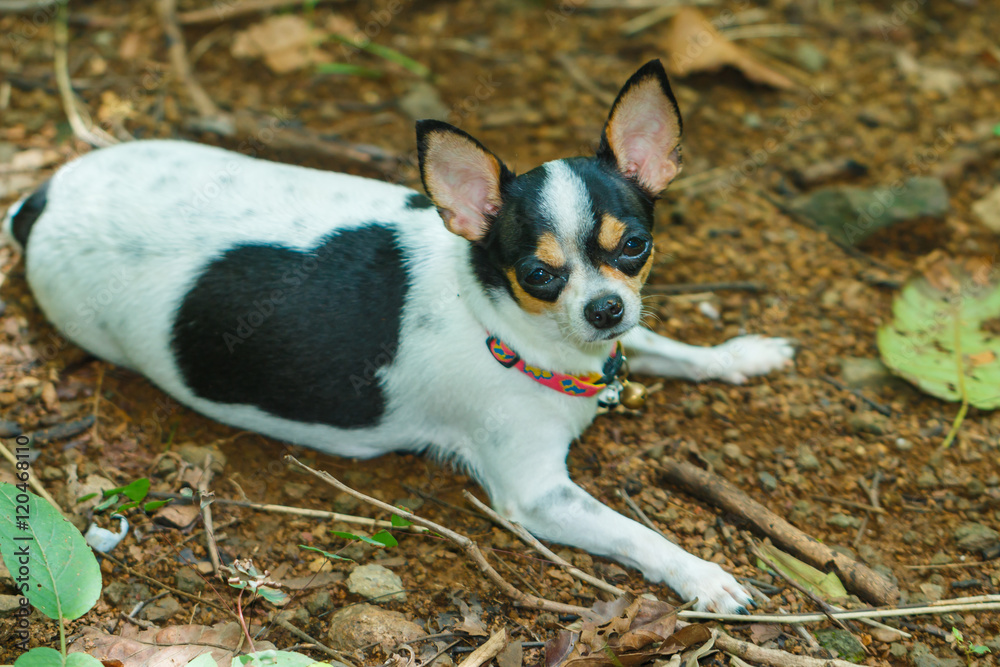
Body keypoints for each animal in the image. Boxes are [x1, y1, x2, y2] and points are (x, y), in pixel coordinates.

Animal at [3, 60, 792, 612]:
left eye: (633, 246)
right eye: (538, 274)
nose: (603, 308)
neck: (504, 323)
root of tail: (43, 195)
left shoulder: (621, 331)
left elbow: (663, 344)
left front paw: (737, 355)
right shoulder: (539, 496)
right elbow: (636, 533)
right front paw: (703, 575)